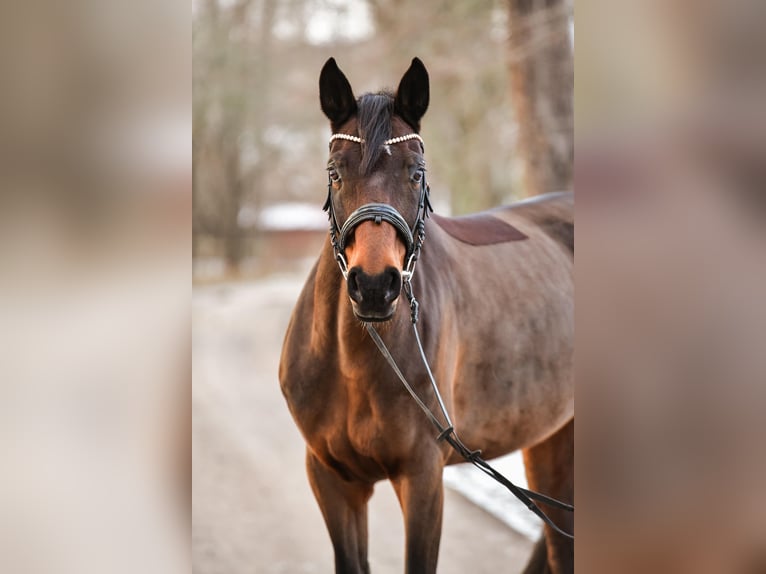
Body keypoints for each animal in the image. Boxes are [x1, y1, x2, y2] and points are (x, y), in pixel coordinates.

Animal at [280, 55, 572, 574]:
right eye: (335, 172)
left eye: (416, 173)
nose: (375, 287)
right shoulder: (332, 479)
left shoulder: (422, 477)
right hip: (550, 435)